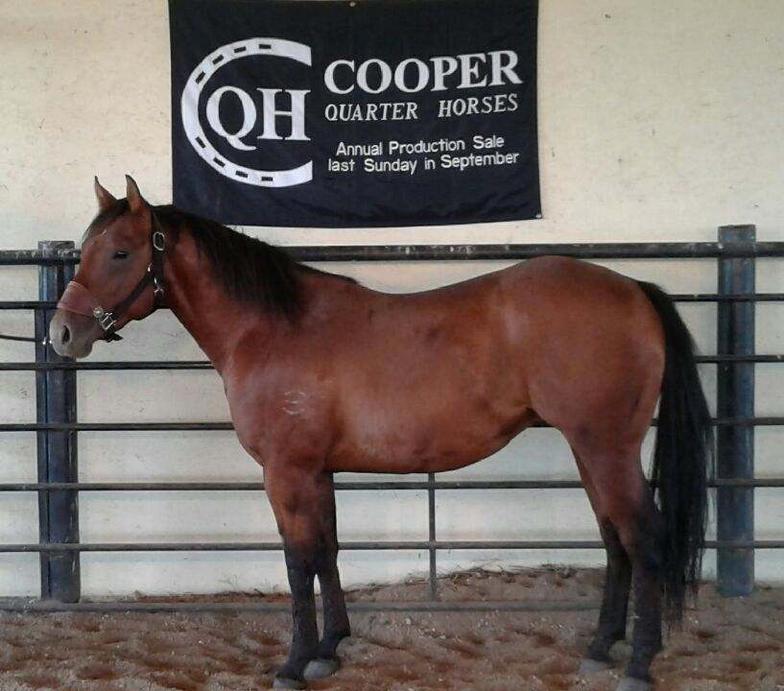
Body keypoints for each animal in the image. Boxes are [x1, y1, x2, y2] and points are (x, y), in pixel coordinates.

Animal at [49, 176, 713, 691]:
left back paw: (639, 666)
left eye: (121, 253)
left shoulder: (285, 472)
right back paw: (601, 649)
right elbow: (327, 550)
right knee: (614, 537)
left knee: (643, 538)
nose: (61, 333)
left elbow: (297, 561)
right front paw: (329, 649)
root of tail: (634, 291)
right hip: (589, 450)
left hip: (606, 448)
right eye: (84, 248)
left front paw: (293, 663)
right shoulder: (317, 471)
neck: (271, 329)